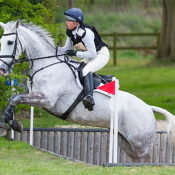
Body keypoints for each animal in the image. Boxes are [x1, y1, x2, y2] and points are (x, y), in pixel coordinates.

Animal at [0, 19, 175, 163]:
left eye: (10, 41)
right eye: (1, 41)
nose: (2, 69)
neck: (47, 64)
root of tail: (149, 108)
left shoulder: (47, 100)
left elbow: (15, 98)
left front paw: (10, 123)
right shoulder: (37, 98)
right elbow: (14, 97)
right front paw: (7, 123)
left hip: (141, 144)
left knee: (146, 162)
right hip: (126, 142)